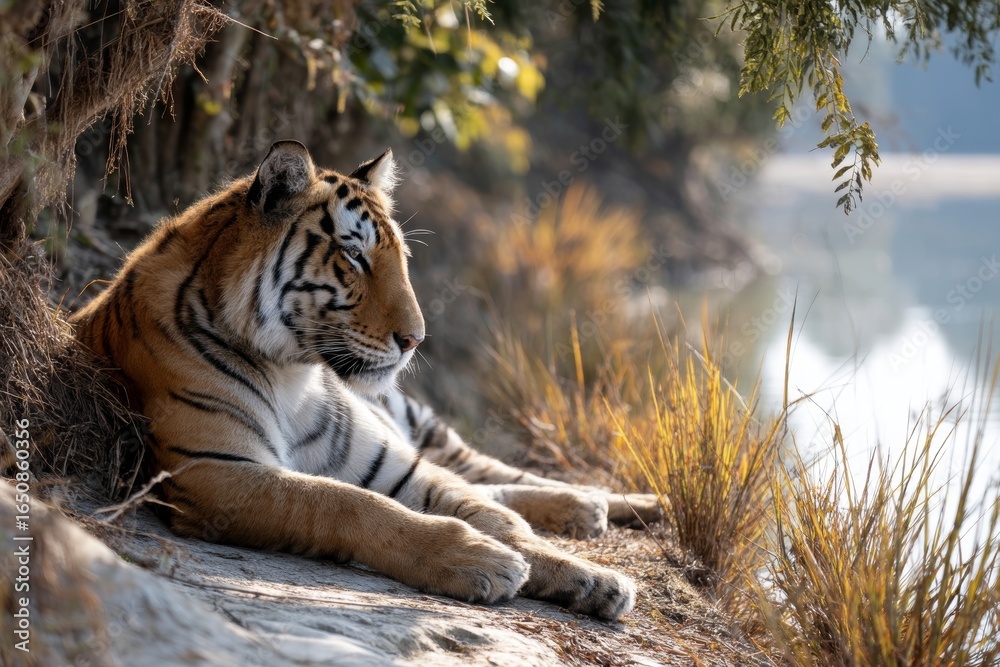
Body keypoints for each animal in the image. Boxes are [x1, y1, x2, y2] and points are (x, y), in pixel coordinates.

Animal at [71, 140, 660, 621]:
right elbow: (350, 504)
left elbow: (493, 515)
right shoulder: (218, 472)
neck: (293, 372)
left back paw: (619, 503)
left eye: (401, 257)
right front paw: (481, 560)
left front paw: (593, 580)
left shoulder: (398, 467)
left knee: (490, 472)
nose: (416, 339)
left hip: (422, 426)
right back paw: (590, 507)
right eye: (354, 256)